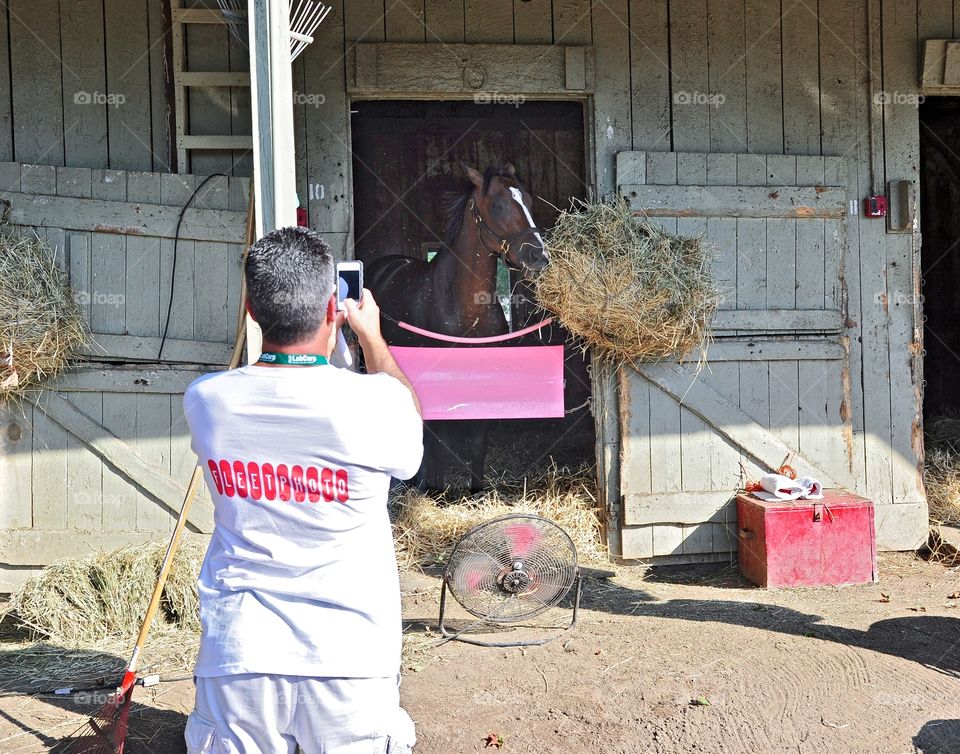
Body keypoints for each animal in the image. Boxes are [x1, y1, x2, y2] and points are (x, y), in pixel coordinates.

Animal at [366, 164, 552, 490]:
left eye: (528, 200)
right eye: (497, 204)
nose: (539, 255)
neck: (466, 309)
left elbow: (478, 439)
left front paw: (475, 490)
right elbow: (440, 438)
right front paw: (439, 489)